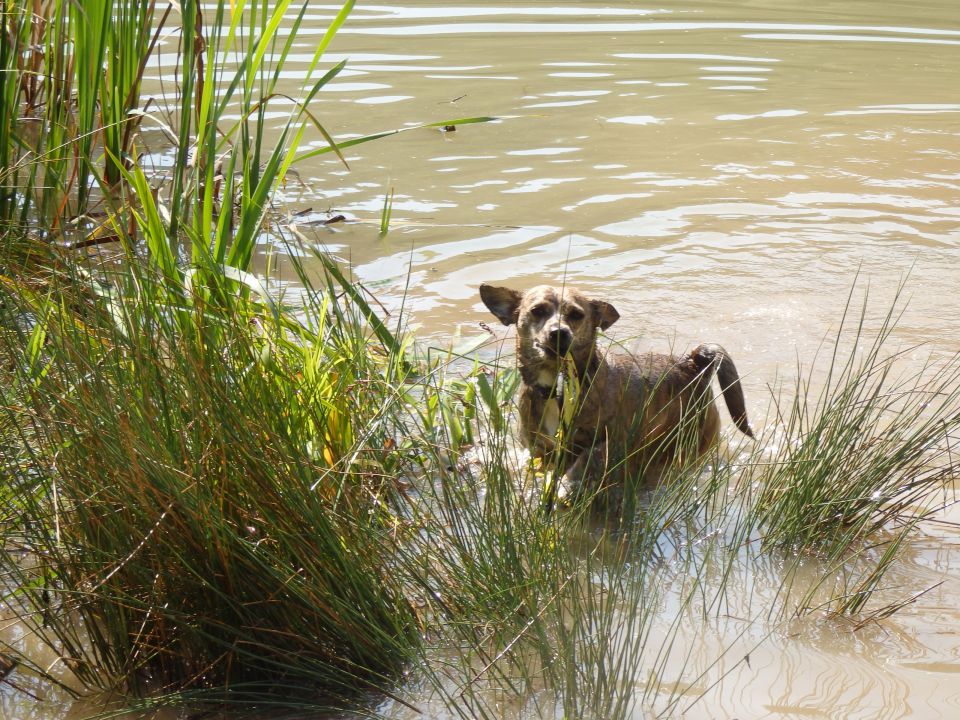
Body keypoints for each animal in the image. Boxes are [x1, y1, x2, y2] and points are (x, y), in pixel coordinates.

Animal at [476, 284, 752, 504]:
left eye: (576, 314)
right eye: (537, 311)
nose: (559, 333)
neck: (558, 387)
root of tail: (692, 362)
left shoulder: (611, 441)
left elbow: (588, 459)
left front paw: (567, 486)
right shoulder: (539, 449)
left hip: (691, 442)